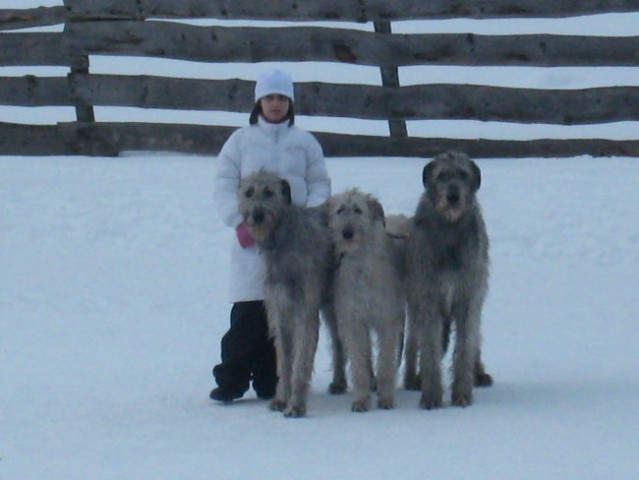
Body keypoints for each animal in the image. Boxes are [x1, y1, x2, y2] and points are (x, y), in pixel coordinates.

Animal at [239, 171, 348, 418]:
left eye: (269, 192)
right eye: (248, 192)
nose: (257, 215)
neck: (282, 241)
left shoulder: (305, 307)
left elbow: (301, 359)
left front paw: (296, 404)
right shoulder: (280, 309)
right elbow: (285, 358)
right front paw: (281, 398)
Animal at [328, 189, 408, 410]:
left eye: (358, 210)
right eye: (340, 210)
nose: (347, 233)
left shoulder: (387, 318)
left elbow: (387, 361)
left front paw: (386, 397)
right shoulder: (353, 319)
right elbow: (358, 360)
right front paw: (361, 398)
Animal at [408, 151, 492, 408]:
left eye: (463, 175)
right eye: (441, 176)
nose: (453, 196)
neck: (450, 227)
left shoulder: (467, 297)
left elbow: (465, 346)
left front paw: (462, 393)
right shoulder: (428, 297)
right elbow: (429, 347)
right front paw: (431, 395)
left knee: (475, 336)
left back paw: (478, 373)